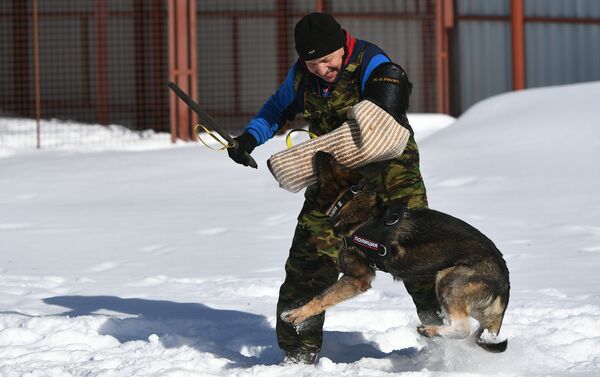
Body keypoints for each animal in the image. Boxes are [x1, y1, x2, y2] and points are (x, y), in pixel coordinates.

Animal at [282, 151, 510, 352]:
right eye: (339, 163)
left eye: (332, 165)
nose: (320, 151)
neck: (350, 202)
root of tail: (504, 281)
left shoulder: (357, 277)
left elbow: (321, 297)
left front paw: (295, 314)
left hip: (449, 280)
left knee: (462, 328)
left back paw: (430, 330)